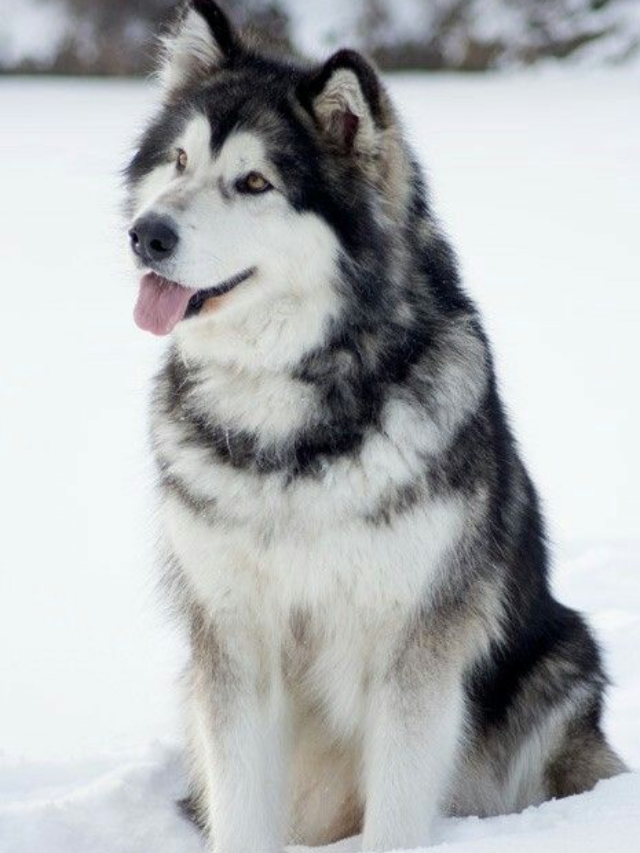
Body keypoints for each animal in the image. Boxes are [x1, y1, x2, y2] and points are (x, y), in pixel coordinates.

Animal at [124, 2, 626, 850]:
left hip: (559, 662)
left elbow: (396, 810)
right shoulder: (232, 638)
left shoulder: (413, 645)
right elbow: (241, 808)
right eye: (180, 160)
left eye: (254, 182)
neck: (289, 416)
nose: (145, 235)